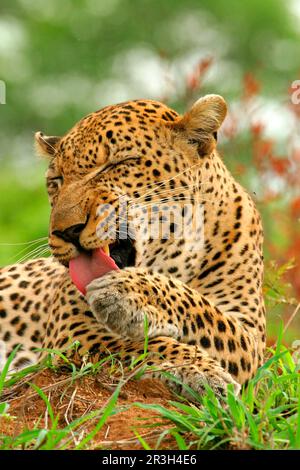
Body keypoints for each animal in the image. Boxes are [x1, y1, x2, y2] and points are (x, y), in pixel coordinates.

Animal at [0, 93, 264, 398]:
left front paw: (128, 293)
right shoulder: (73, 327)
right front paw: (201, 370)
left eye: (117, 164)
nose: (66, 231)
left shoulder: (252, 336)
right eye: (56, 181)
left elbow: (205, 313)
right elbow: (141, 345)